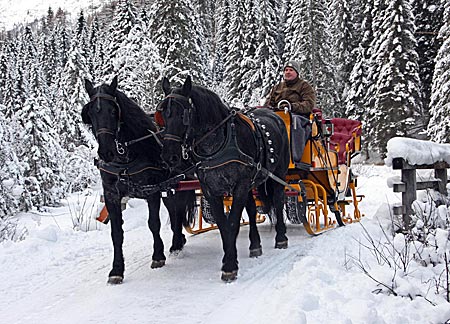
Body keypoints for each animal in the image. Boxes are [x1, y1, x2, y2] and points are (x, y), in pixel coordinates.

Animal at [81, 76, 194, 284]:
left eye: (113, 111)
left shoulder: (152, 190)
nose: (106, 152)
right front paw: (117, 269)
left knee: (179, 211)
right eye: (91, 113)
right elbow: (116, 233)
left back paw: (176, 243)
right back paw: (178, 242)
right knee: (174, 212)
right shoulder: (111, 194)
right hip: (169, 188)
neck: (126, 157)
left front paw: (158, 256)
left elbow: (154, 223)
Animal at [158, 76, 290, 280]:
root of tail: (275, 114)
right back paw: (255, 245)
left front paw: (230, 265)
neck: (217, 144)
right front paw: (229, 259)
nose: (168, 156)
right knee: (252, 210)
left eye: (183, 115)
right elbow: (223, 224)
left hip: (278, 174)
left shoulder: (240, 185)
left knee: (278, 200)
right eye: (163, 113)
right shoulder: (211, 190)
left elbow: (233, 221)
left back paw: (281, 238)